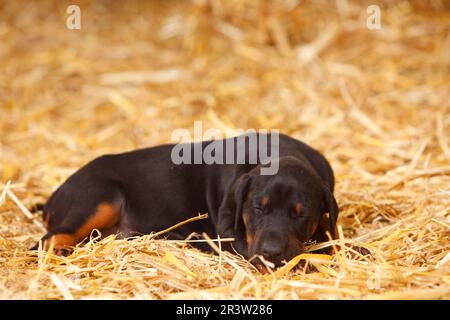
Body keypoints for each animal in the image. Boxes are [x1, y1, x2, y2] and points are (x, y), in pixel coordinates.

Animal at [34, 132, 338, 264]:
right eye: (257, 208)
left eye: (301, 213)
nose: (271, 253)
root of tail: (56, 194)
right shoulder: (229, 233)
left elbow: (328, 231)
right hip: (99, 197)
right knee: (51, 236)